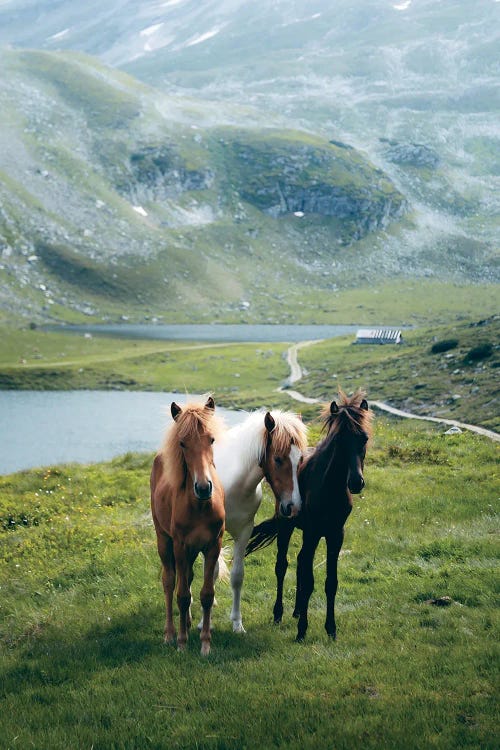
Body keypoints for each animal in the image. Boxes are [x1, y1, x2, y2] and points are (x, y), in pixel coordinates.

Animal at [150, 396, 225, 656]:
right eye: (182, 443)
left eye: (211, 439)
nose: (203, 488)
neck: (200, 506)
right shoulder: (181, 547)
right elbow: (181, 595)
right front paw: (182, 643)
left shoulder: (212, 546)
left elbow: (206, 594)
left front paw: (205, 643)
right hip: (165, 541)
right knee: (169, 581)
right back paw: (170, 633)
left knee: (188, 578)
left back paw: (189, 622)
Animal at [213, 414, 306, 632]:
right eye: (278, 459)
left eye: (301, 459)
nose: (293, 507)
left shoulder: (244, 532)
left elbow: (237, 576)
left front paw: (237, 624)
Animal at [246, 390, 372, 644]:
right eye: (339, 440)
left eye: (363, 438)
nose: (356, 482)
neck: (329, 488)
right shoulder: (313, 533)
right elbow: (308, 579)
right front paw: (302, 630)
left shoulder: (335, 535)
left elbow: (329, 582)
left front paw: (331, 629)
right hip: (287, 526)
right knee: (283, 565)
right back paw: (280, 614)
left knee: (301, 564)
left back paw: (296, 611)